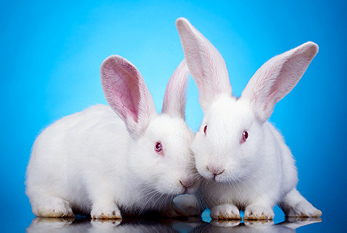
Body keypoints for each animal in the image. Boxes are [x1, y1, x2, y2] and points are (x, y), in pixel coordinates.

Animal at [25, 55, 200, 219]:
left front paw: (176, 211)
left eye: (192, 142)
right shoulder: (94, 176)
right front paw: (106, 213)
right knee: (37, 200)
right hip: (43, 180)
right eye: (158, 146)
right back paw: (56, 208)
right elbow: (101, 196)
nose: (188, 182)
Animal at [177, 17, 324, 220]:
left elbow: (262, 201)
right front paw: (226, 213)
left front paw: (259, 213)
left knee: (291, 195)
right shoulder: (212, 195)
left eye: (245, 135)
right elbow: (220, 204)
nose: (215, 169)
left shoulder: (269, 187)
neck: (235, 179)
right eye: (205, 129)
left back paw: (306, 210)